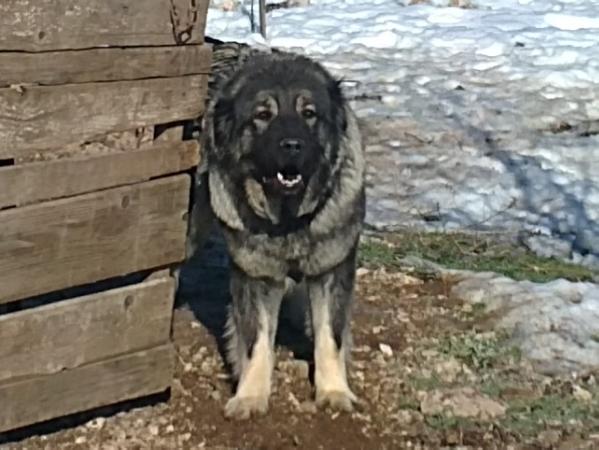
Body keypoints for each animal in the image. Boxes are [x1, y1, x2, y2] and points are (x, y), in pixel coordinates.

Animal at [199, 50, 364, 422]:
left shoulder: (331, 270)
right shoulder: (255, 276)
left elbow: (329, 337)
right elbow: (255, 341)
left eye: (309, 114)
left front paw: (334, 391)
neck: (288, 220)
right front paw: (250, 396)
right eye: (263, 115)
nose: (293, 145)